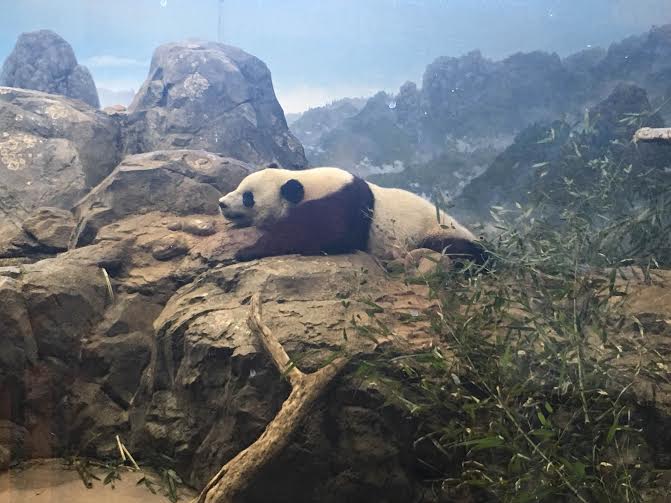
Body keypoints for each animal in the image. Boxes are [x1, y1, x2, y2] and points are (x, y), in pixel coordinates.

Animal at [218, 166, 487, 264]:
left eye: (248, 197)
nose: (221, 203)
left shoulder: (342, 204)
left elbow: (325, 235)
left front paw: (246, 251)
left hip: (435, 231)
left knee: (458, 250)